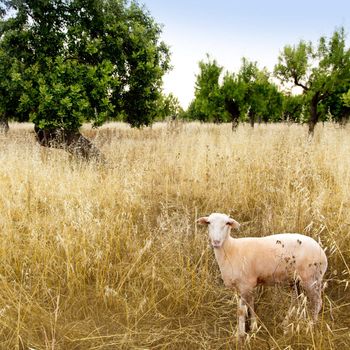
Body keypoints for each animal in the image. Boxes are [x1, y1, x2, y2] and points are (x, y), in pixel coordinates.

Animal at [197, 212, 328, 338]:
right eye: (208, 222)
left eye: (227, 223)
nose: (216, 242)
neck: (231, 249)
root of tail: (321, 251)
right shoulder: (243, 287)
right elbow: (250, 306)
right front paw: (253, 327)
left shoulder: (245, 284)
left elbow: (241, 310)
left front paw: (240, 335)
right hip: (295, 279)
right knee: (296, 300)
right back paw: (286, 323)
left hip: (311, 279)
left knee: (317, 302)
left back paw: (310, 326)